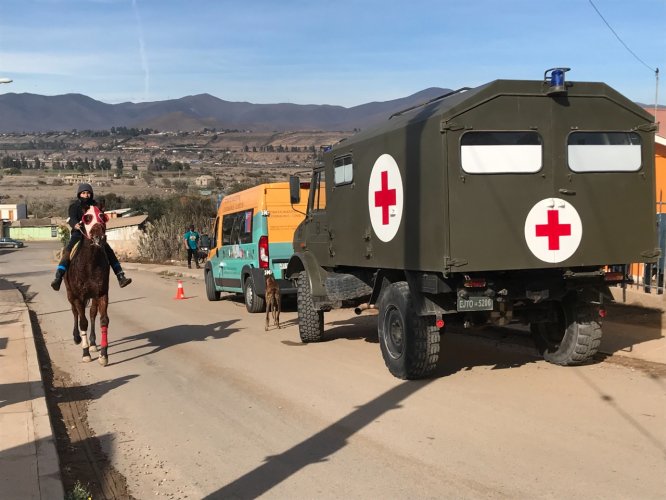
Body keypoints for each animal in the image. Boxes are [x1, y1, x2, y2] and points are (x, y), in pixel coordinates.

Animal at [63, 205, 110, 366]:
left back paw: (93, 343)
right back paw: (77, 337)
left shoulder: (101, 294)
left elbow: (103, 320)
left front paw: (103, 355)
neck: (90, 264)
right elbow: (83, 322)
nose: (99, 238)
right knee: (75, 313)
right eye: (87, 218)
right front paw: (85, 353)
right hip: (70, 294)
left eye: (103, 216)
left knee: (92, 314)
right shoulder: (79, 297)